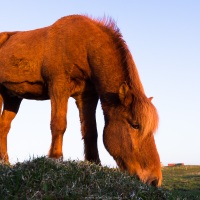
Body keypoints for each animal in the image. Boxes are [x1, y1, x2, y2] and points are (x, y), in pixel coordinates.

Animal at [0, 15, 162, 186]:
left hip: (12, 97)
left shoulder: (87, 97)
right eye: (135, 125)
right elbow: (59, 124)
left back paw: (5, 162)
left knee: (4, 126)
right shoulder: (58, 86)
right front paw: (55, 158)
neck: (85, 46)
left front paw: (95, 162)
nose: (154, 180)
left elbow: (91, 131)